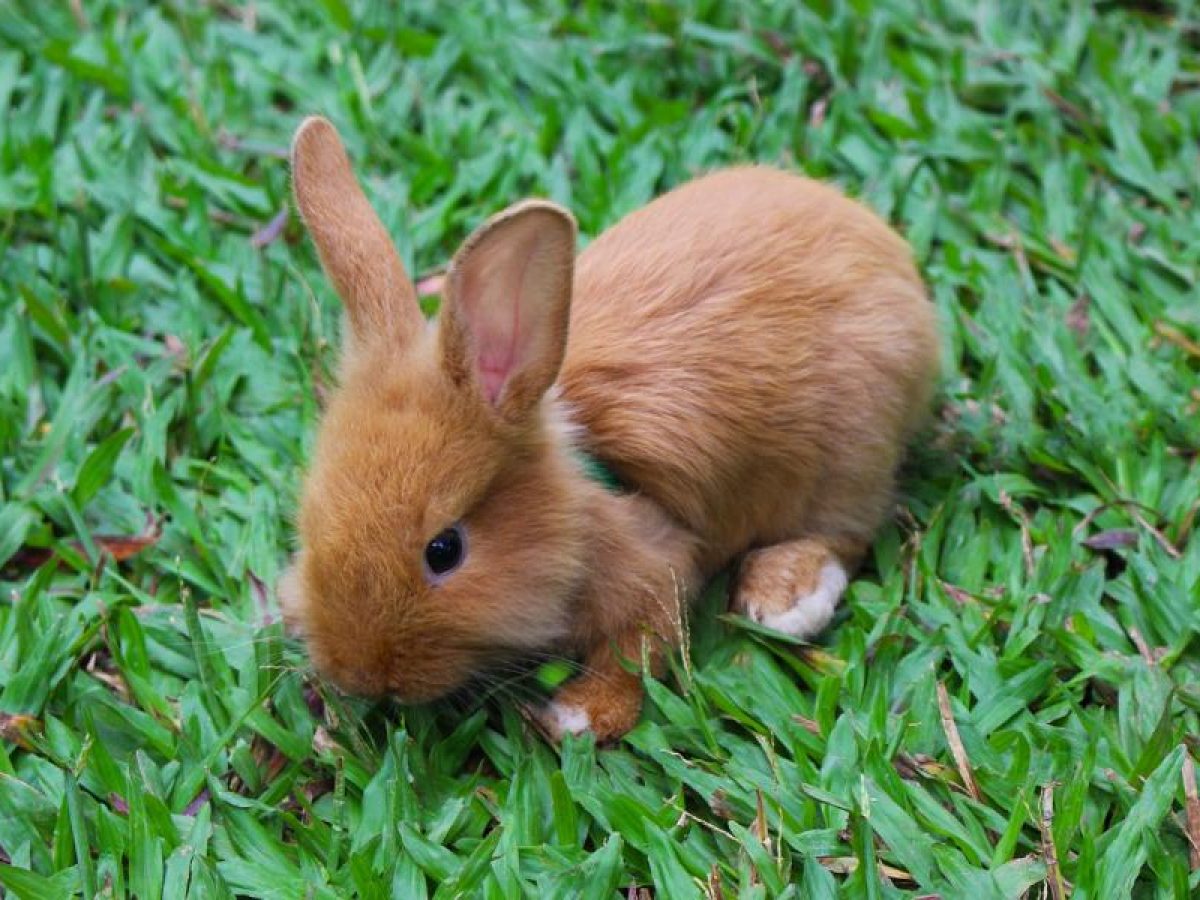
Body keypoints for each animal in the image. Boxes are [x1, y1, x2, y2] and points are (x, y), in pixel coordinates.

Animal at [278, 115, 940, 741]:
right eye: (309, 520)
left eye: (445, 550)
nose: (359, 674)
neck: (578, 502)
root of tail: (891, 259)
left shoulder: (658, 570)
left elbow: (635, 653)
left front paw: (576, 718)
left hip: (848, 453)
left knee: (845, 529)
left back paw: (784, 599)